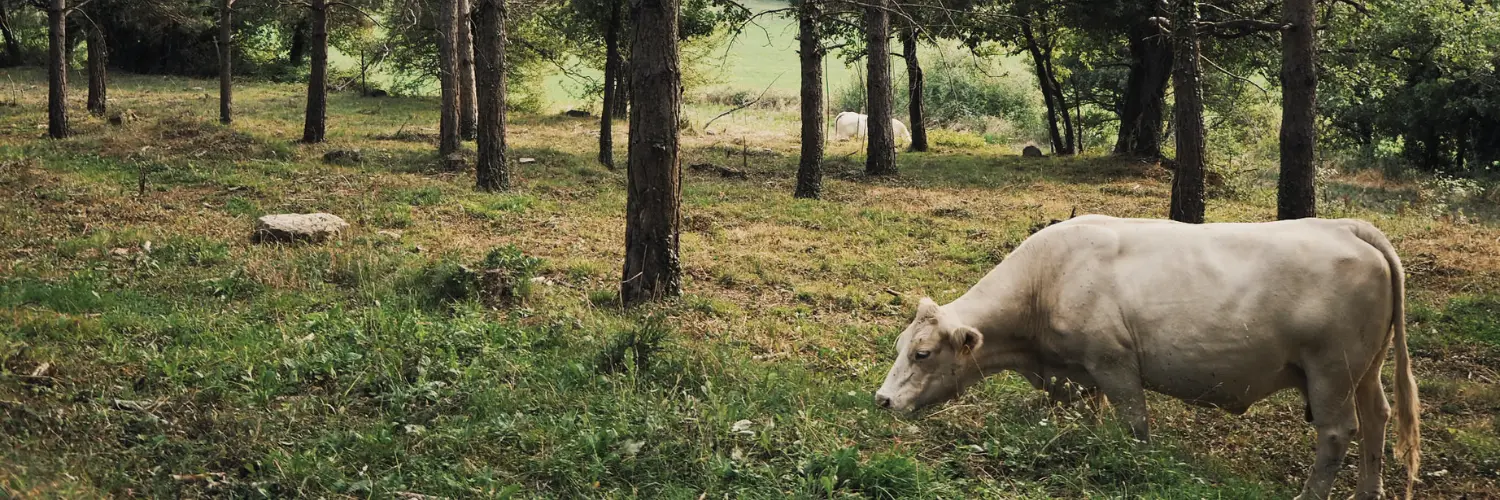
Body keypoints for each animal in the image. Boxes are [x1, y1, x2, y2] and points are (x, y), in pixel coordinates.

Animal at [870, 214, 1416, 498]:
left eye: (921, 353)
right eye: (900, 347)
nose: (882, 400)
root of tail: (1346, 226)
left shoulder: (1115, 365)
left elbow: (1135, 427)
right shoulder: (1083, 372)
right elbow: (1093, 416)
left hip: (1330, 370)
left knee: (1337, 433)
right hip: (1364, 370)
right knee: (1377, 418)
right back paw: (1369, 491)